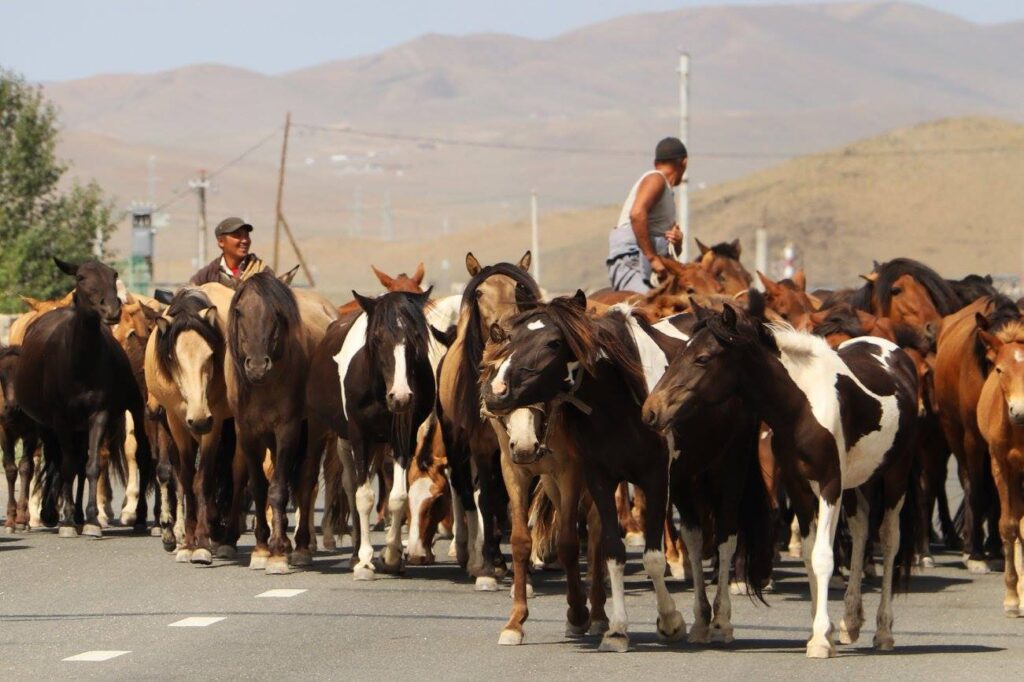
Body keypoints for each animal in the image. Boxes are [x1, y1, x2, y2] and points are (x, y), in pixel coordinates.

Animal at [14, 258, 151, 532]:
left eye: (113, 274)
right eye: (80, 277)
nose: (111, 309)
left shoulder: (99, 414)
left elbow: (92, 463)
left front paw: (91, 517)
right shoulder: (59, 419)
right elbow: (66, 464)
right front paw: (65, 517)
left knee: (134, 454)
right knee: (53, 459)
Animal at [436, 251, 536, 585]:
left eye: (519, 289)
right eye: (479, 293)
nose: (502, 329)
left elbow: (511, 497)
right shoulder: (480, 445)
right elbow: (489, 497)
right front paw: (493, 562)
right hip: (455, 440)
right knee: (467, 490)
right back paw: (471, 555)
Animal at [479, 292, 688, 655]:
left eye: (553, 343)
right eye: (510, 341)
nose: (497, 392)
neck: (621, 404)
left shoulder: (651, 477)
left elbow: (649, 556)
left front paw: (669, 620)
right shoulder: (587, 476)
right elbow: (607, 549)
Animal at [643, 294, 917, 655]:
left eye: (702, 358)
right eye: (676, 356)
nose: (651, 410)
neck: (803, 405)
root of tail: (896, 354)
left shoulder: (830, 485)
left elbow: (823, 557)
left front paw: (821, 641)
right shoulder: (799, 486)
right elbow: (811, 558)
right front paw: (822, 630)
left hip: (896, 474)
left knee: (888, 539)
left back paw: (883, 631)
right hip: (861, 479)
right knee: (860, 530)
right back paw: (851, 622)